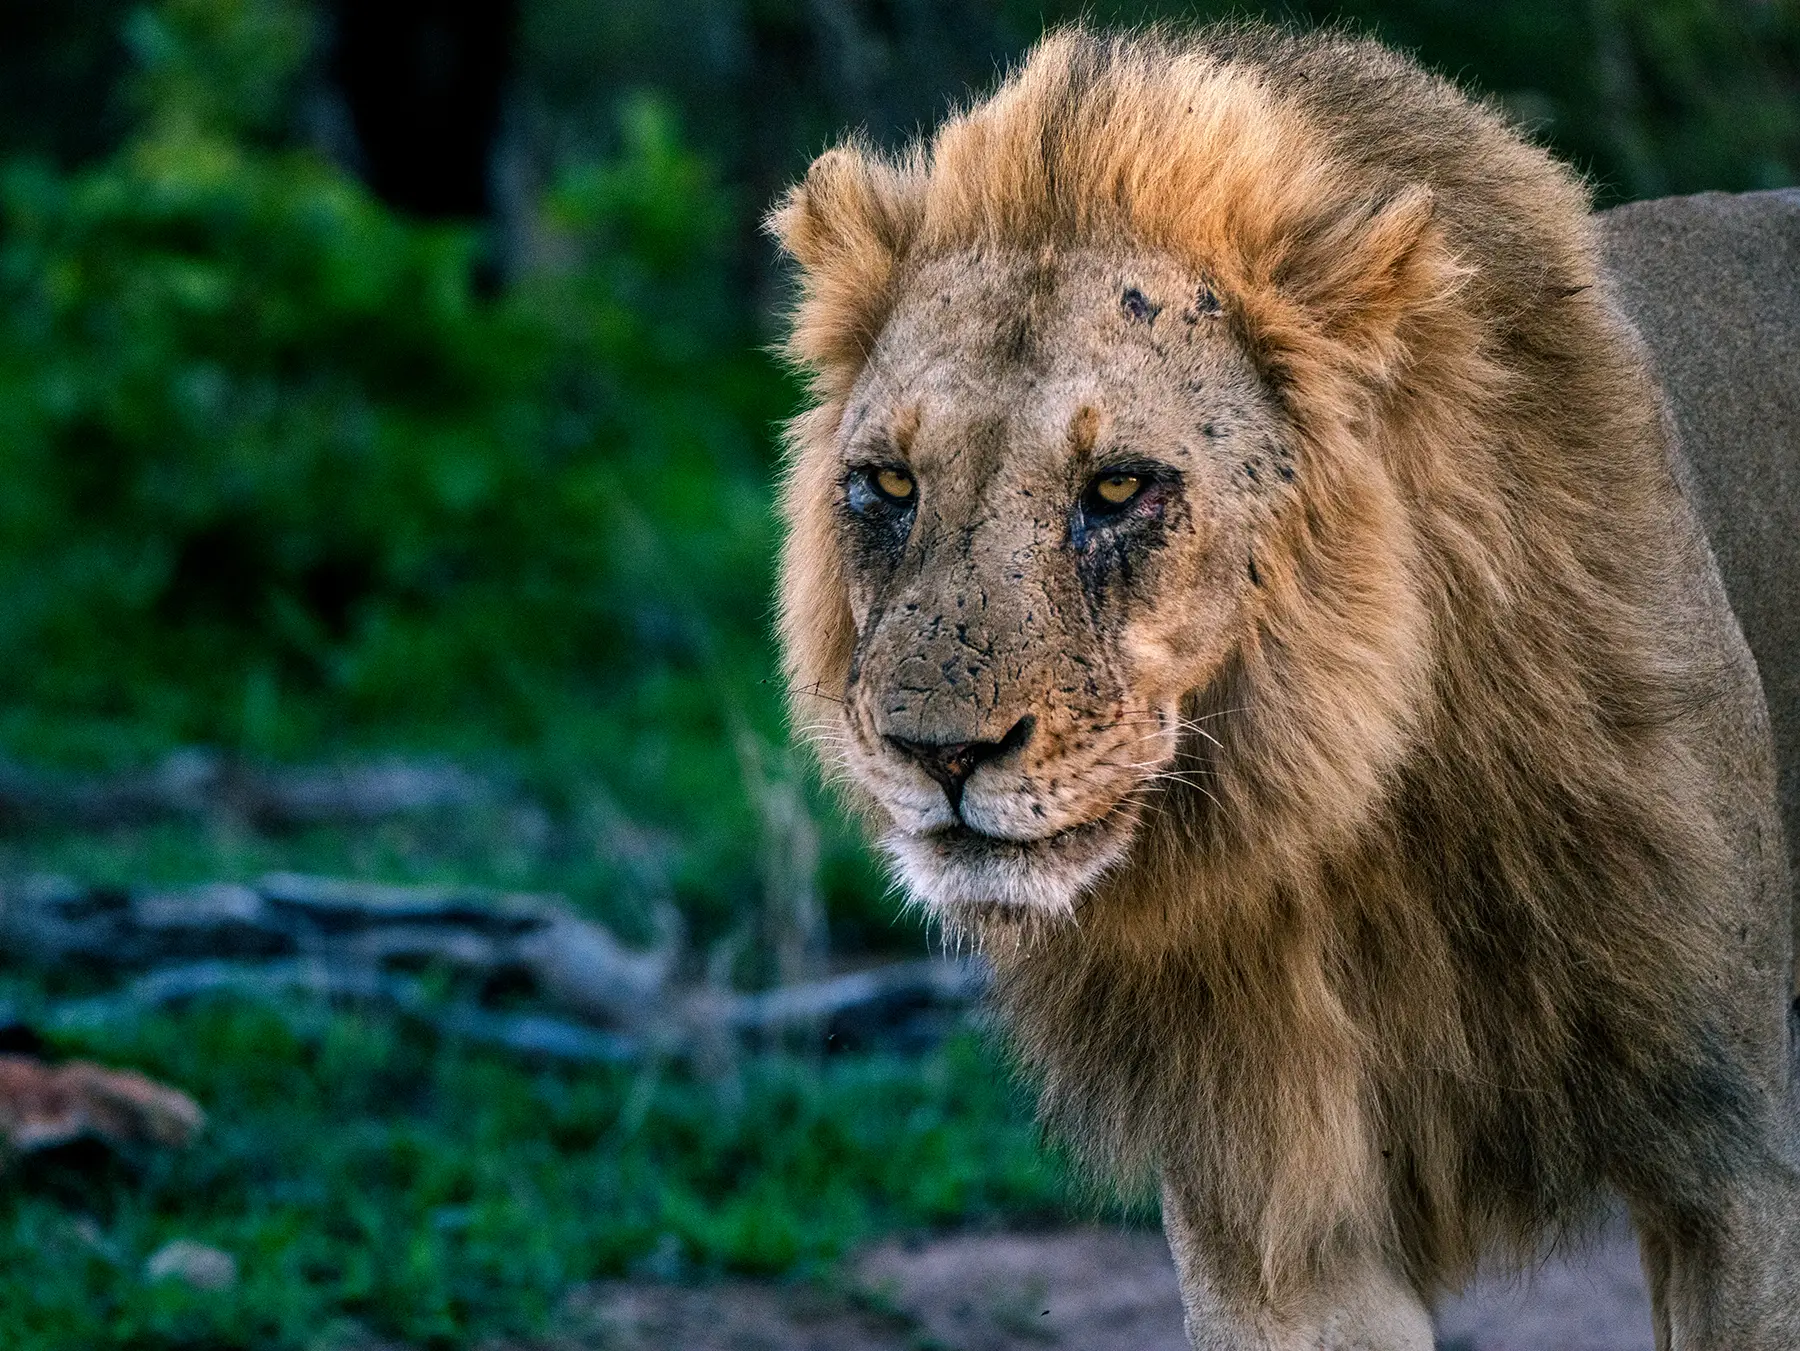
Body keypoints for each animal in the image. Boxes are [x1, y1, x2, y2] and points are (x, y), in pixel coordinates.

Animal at [769, 24, 1800, 1349]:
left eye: (1117, 488)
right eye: (889, 486)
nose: (936, 753)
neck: (1354, 827)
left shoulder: (1737, 1163)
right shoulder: (1269, 1217)